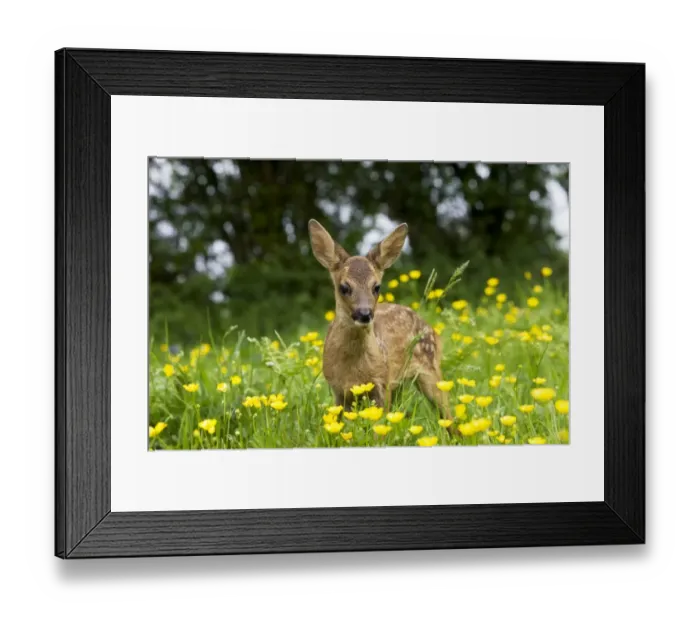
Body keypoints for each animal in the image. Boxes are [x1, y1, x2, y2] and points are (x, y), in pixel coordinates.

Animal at [308, 219, 452, 424]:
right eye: (344, 287)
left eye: (376, 287)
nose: (364, 313)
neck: (354, 371)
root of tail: (432, 329)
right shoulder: (337, 389)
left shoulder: (382, 383)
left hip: (429, 369)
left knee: (450, 417)